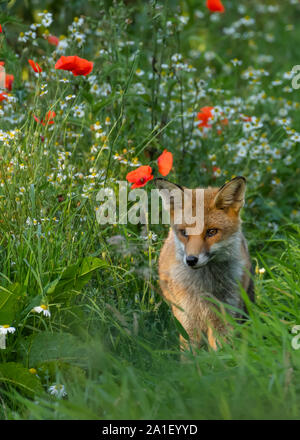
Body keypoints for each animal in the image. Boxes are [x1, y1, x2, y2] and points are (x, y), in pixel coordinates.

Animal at [155, 177, 255, 352]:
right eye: (184, 233)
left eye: (211, 232)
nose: (191, 260)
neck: (204, 288)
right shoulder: (188, 320)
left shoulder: (224, 317)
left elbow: (222, 353)